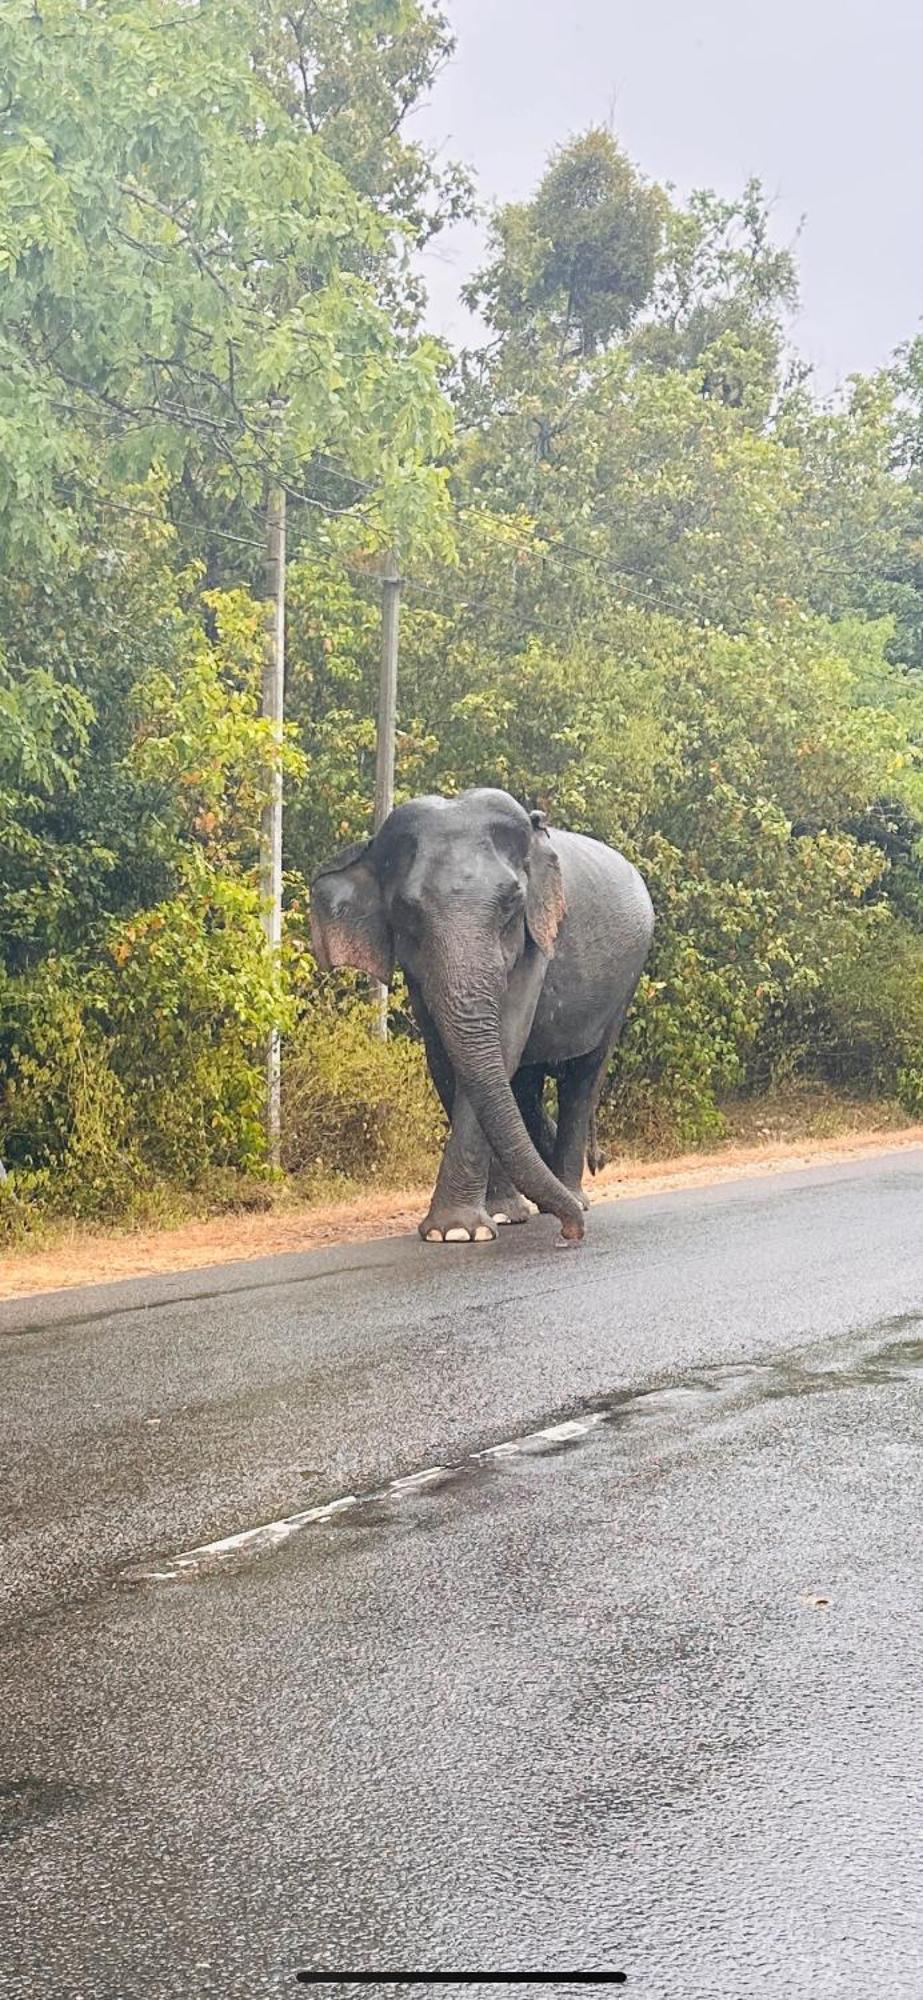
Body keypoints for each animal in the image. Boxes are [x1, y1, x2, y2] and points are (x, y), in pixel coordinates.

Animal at [311, 788, 655, 1240]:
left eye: (511, 901)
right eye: (406, 911)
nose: (571, 1233)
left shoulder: (536, 936)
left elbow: (506, 1040)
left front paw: (458, 1231)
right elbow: (445, 1060)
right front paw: (483, 1222)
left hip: (626, 982)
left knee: (583, 1078)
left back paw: (573, 1196)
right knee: (526, 1085)